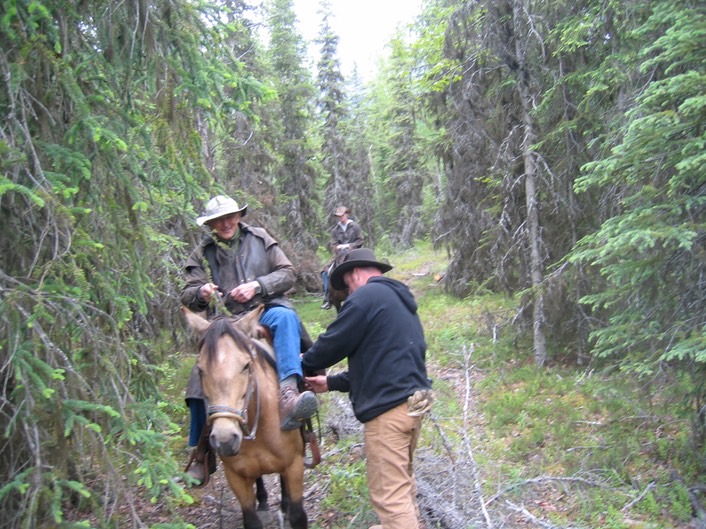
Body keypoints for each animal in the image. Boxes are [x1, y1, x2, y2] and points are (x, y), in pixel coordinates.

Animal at [182, 306, 306, 528]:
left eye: (246, 365)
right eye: (200, 369)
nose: (224, 439)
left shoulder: (294, 465)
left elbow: (298, 515)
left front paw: (288, 507)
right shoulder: (236, 477)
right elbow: (251, 519)